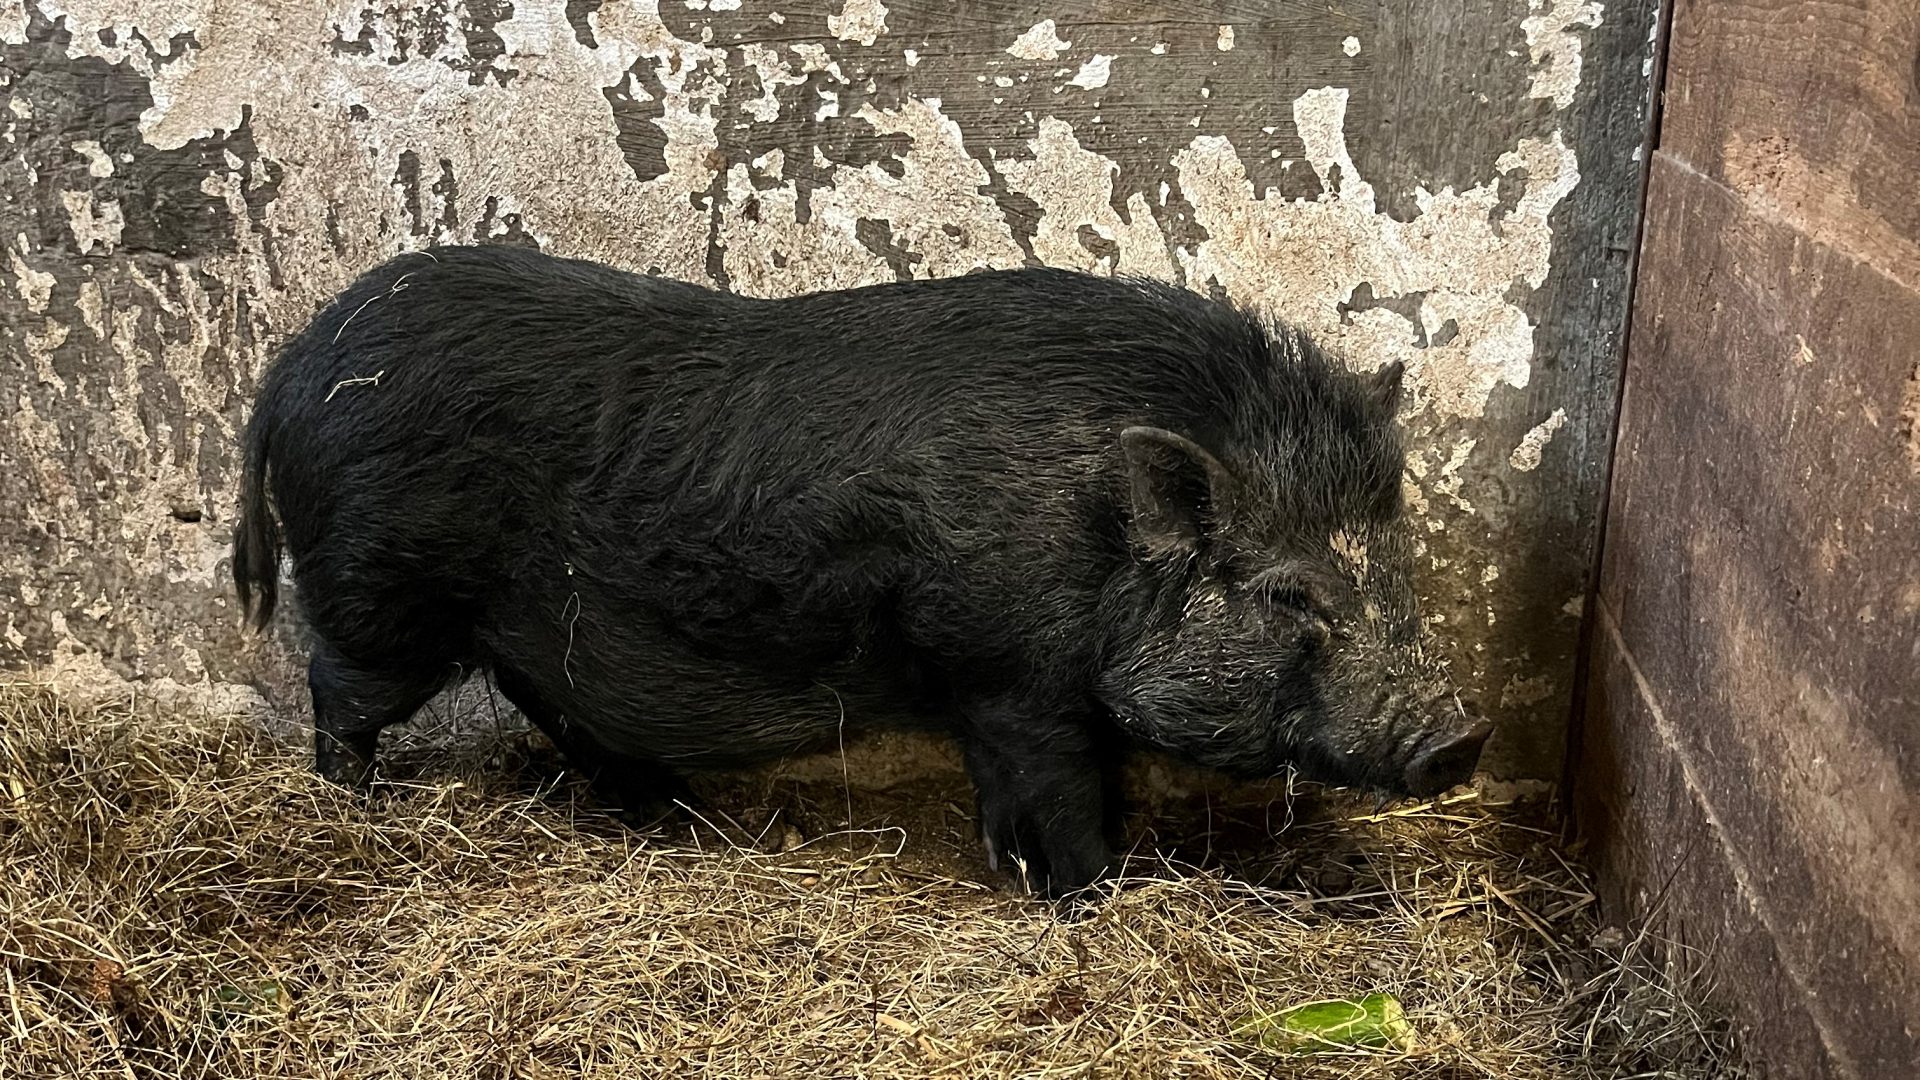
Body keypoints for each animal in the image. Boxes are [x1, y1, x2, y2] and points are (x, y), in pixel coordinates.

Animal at [234, 243, 1491, 897]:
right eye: (1288, 592)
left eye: (1395, 565)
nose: (1460, 735)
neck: (1092, 531)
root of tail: (288, 367)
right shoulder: (1016, 683)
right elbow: (1071, 802)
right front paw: (1099, 896)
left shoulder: (1012, 701)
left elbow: (1023, 804)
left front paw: (1021, 879)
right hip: (381, 600)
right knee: (339, 694)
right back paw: (356, 806)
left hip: (523, 625)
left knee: (555, 707)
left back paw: (668, 819)